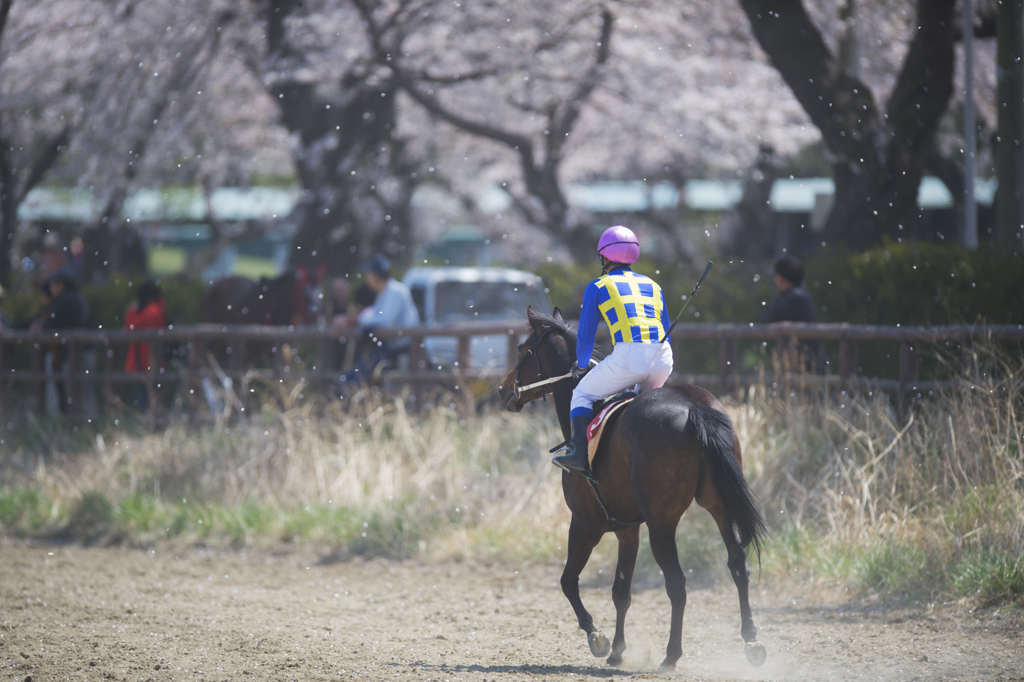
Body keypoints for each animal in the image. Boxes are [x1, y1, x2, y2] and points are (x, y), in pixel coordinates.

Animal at [495, 307, 770, 667]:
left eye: (521, 348)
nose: (501, 390)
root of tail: (693, 406)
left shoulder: (585, 523)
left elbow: (568, 581)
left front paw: (598, 637)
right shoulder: (628, 529)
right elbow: (621, 591)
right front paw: (617, 649)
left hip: (661, 523)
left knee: (676, 581)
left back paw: (671, 655)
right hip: (718, 505)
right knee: (738, 565)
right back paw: (751, 640)